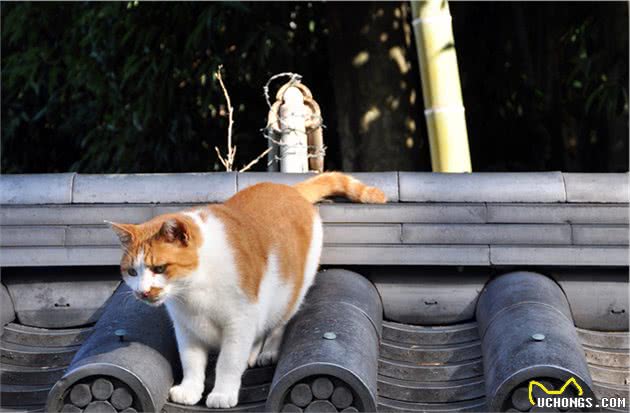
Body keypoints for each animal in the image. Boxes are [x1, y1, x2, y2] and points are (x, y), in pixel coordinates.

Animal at [106, 172, 388, 408]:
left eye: (160, 268)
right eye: (132, 272)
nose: (142, 292)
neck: (194, 291)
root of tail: (289, 188)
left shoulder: (239, 321)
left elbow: (229, 361)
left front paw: (222, 393)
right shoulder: (186, 328)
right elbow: (191, 362)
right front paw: (191, 390)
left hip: (290, 293)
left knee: (278, 324)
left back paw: (268, 351)